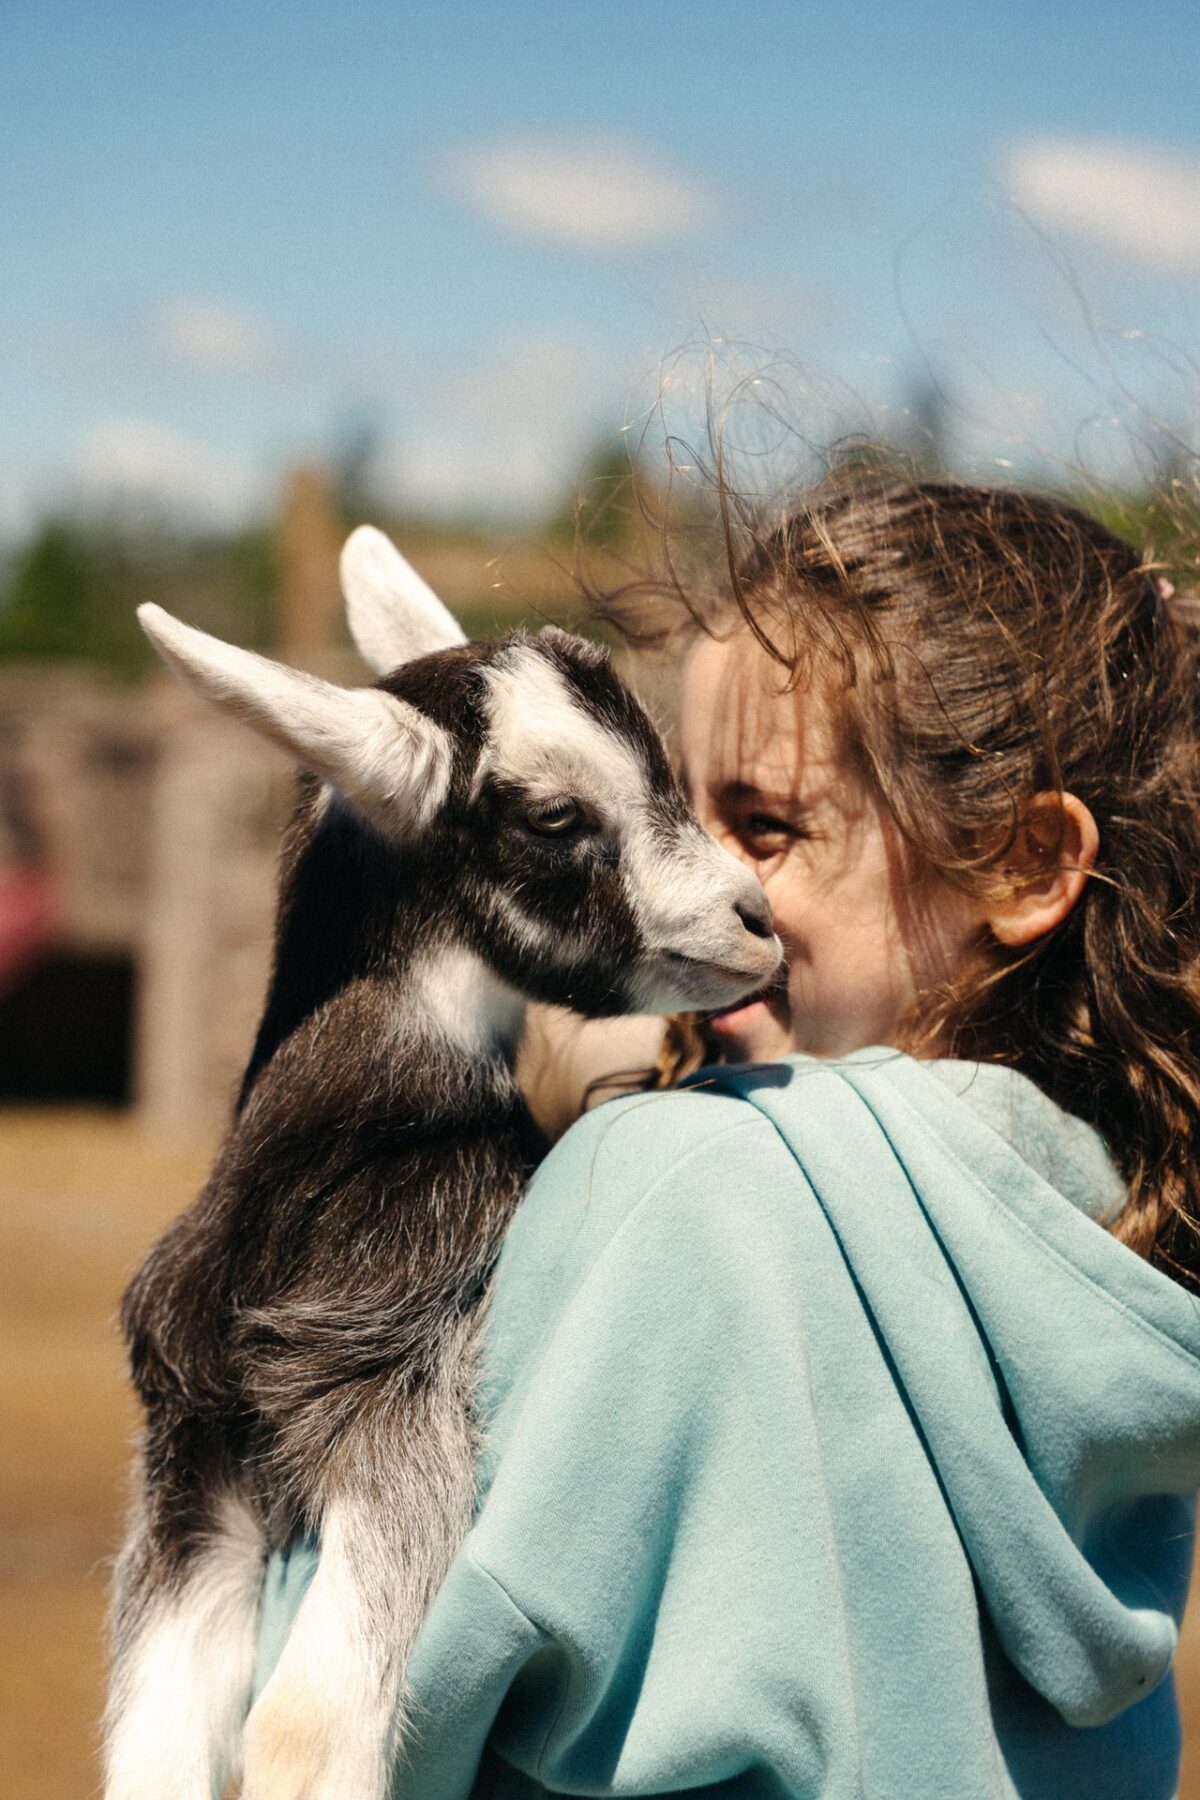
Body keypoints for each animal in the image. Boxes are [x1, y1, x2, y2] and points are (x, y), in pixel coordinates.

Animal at [104, 526, 781, 1800]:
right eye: (556, 815)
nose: (755, 920)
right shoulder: (197, 1470)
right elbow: (172, 1746)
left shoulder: (402, 1404)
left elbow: (301, 1726)